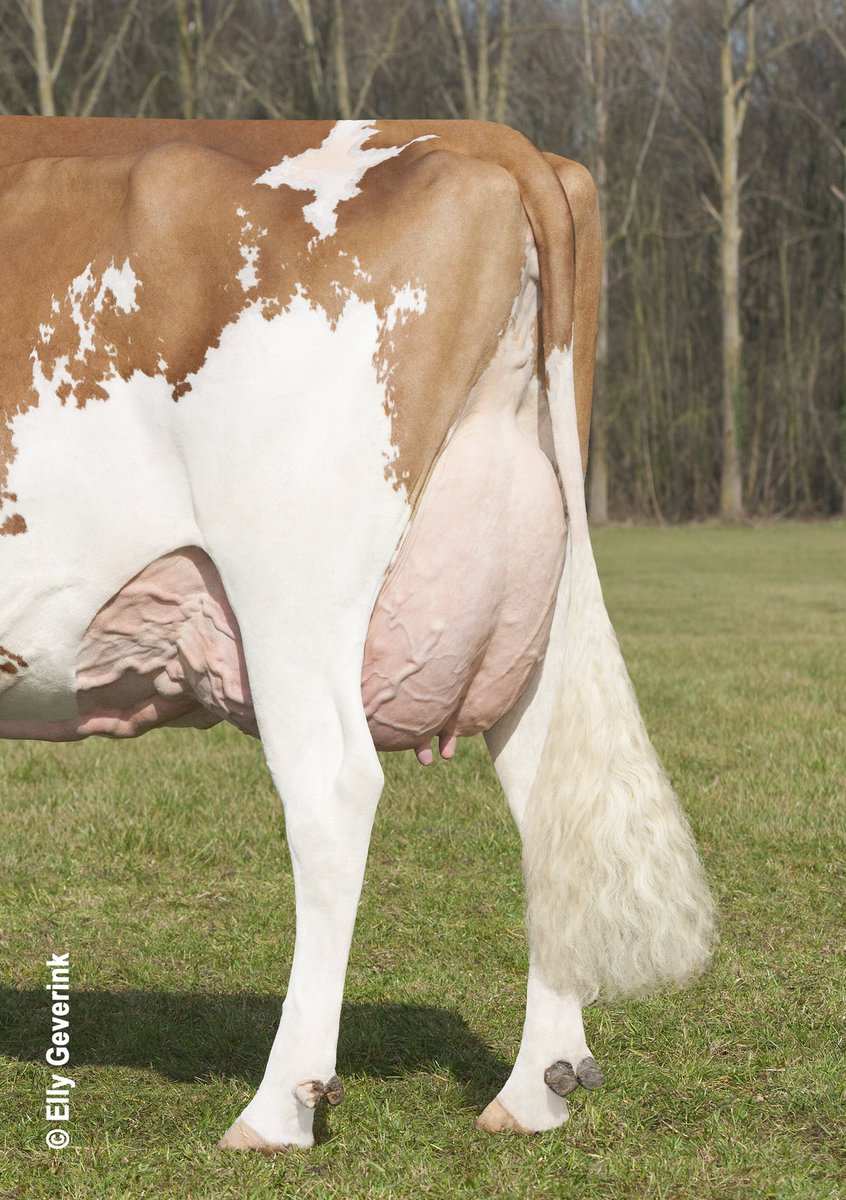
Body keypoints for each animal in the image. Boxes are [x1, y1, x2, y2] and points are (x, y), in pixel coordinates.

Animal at [0, 116, 716, 1151]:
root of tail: (484, 136)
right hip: (535, 597)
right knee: (547, 796)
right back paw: (532, 1091)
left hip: (290, 586)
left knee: (333, 789)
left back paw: (277, 1108)